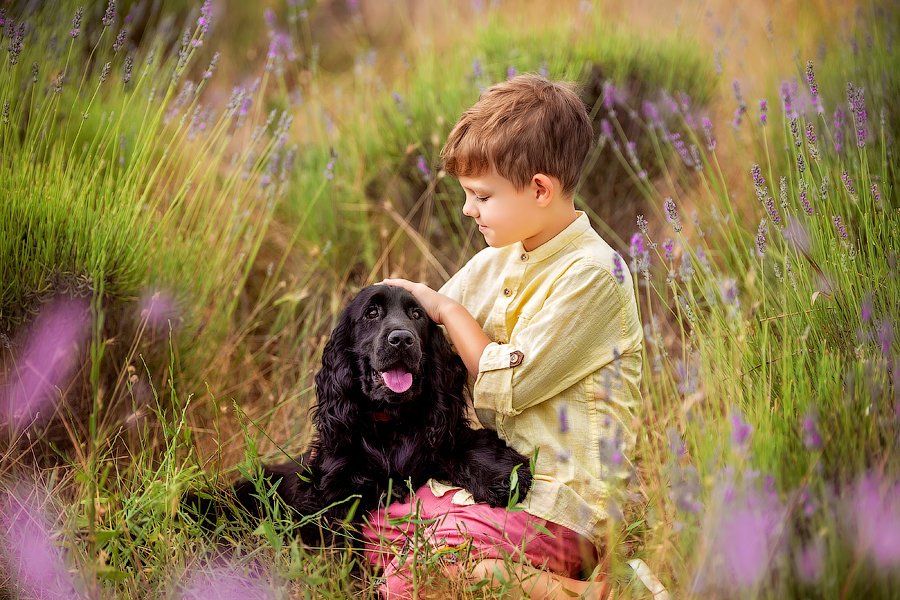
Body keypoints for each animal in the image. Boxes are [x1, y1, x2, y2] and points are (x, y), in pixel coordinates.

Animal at [185, 284, 532, 540]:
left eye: (416, 314)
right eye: (372, 313)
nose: (402, 339)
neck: (390, 425)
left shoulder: (440, 439)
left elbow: (473, 446)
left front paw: (505, 479)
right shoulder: (335, 491)